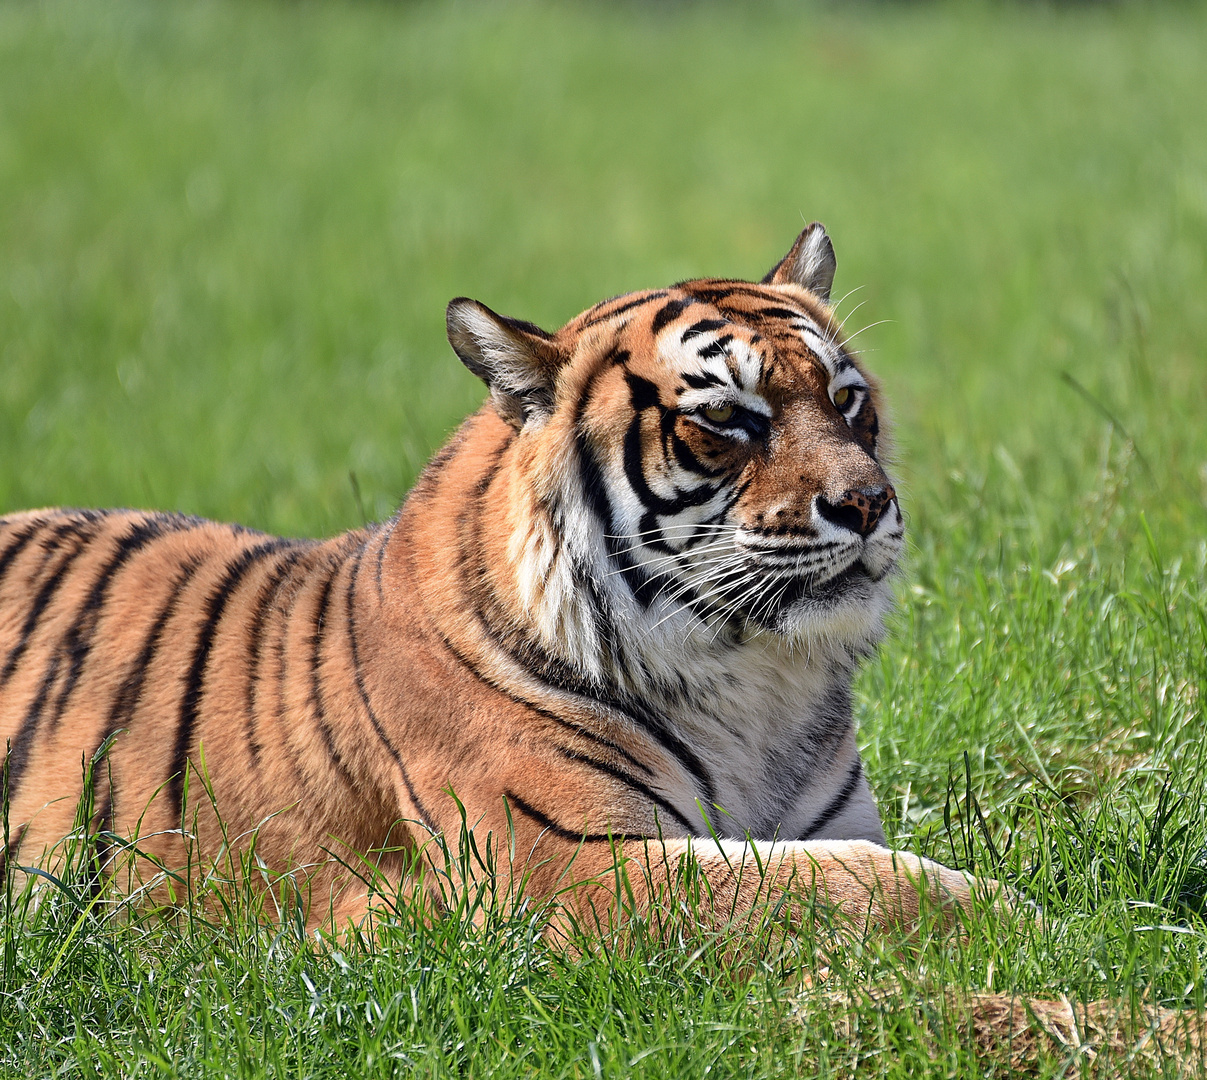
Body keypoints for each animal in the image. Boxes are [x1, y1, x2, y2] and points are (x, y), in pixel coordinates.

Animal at [0, 225, 975, 936]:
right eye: (727, 419)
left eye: (844, 400)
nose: (867, 502)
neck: (755, 683)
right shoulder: (574, 863)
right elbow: (844, 885)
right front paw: (997, 913)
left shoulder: (826, 820)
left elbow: (841, 866)